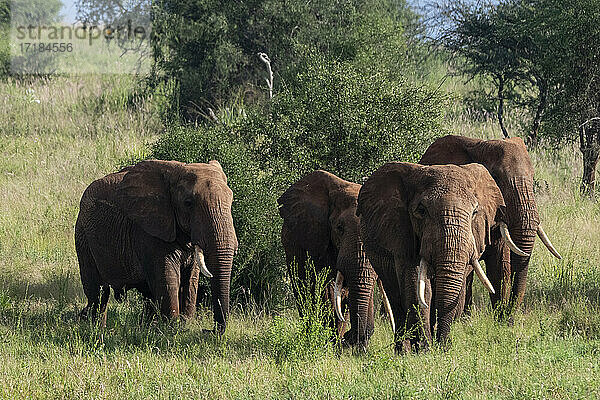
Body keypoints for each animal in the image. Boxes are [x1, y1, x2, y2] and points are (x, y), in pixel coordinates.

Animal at [77, 159, 239, 332]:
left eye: (231, 201)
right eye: (188, 203)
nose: (209, 330)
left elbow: (191, 279)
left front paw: (184, 324)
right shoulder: (148, 232)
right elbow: (167, 279)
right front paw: (172, 328)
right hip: (83, 235)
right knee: (98, 293)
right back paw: (96, 329)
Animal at [358, 162, 528, 350]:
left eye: (475, 212)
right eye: (421, 211)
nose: (442, 344)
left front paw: (440, 347)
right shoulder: (402, 233)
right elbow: (417, 287)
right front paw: (424, 348)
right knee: (394, 295)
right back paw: (404, 349)